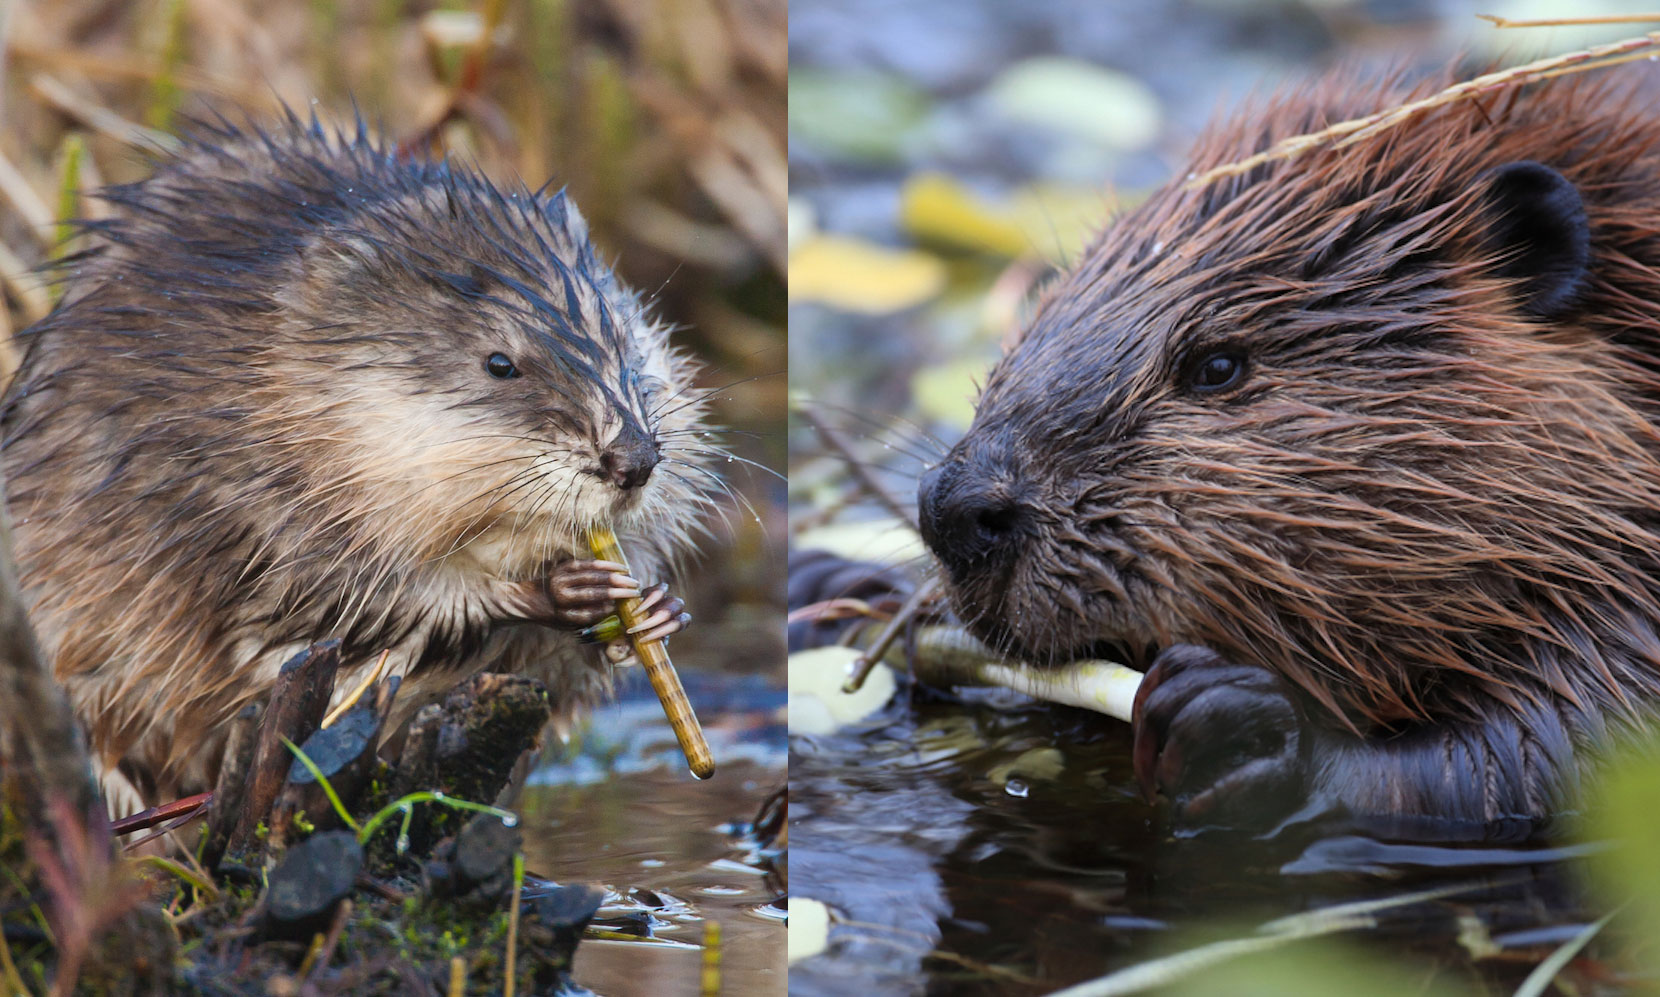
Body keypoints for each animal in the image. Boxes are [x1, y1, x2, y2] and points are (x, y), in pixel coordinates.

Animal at [6, 116, 720, 816]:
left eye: (623, 339)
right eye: (499, 363)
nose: (633, 462)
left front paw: (656, 607)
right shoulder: (236, 495)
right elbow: (348, 604)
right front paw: (567, 589)